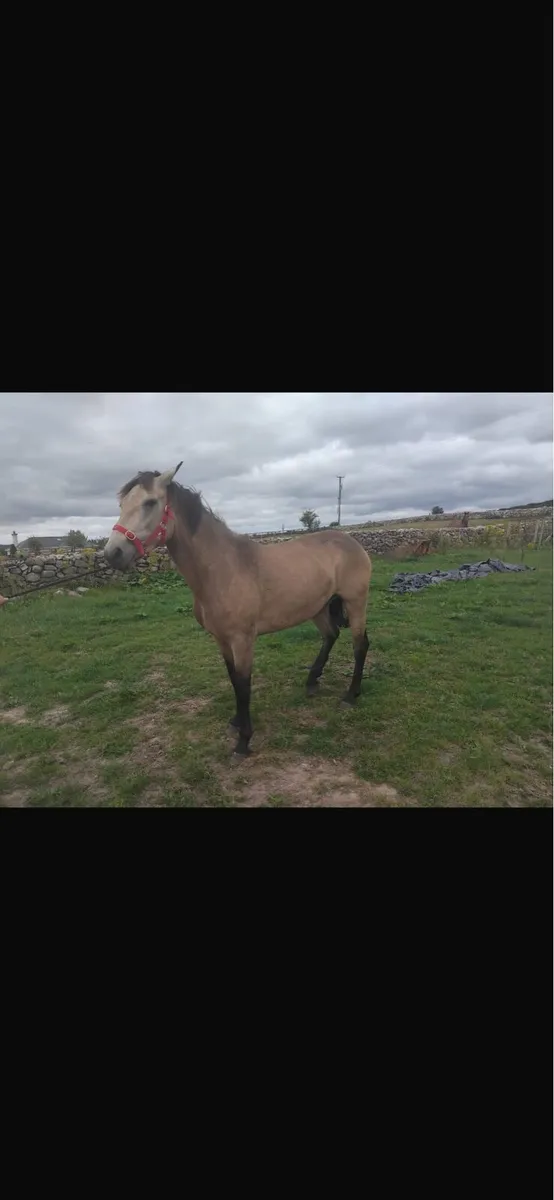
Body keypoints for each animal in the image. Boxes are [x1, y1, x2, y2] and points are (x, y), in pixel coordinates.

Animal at [103, 464, 372, 756]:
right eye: (122, 504)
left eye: (150, 502)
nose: (112, 553)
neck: (223, 569)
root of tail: (351, 542)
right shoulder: (221, 639)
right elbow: (233, 680)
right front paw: (235, 722)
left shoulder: (243, 640)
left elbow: (243, 685)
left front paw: (243, 742)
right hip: (318, 607)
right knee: (331, 635)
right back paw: (312, 682)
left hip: (355, 603)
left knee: (360, 645)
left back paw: (350, 695)